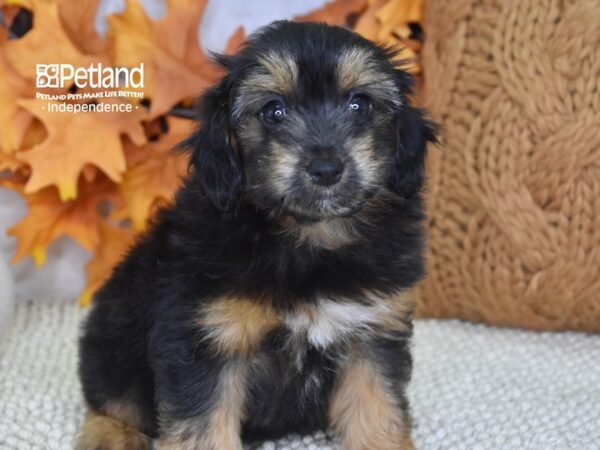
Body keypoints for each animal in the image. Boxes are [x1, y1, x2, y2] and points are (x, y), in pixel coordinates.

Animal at [78, 20, 436, 450]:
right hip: (115, 340)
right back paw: (109, 436)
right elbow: (204, 429)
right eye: (273, 111)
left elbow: (377, 412)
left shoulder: (372, 333)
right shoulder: (205, 338)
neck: (306, 239)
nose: (326, 168)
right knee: (112, 403)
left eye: (360, 104)